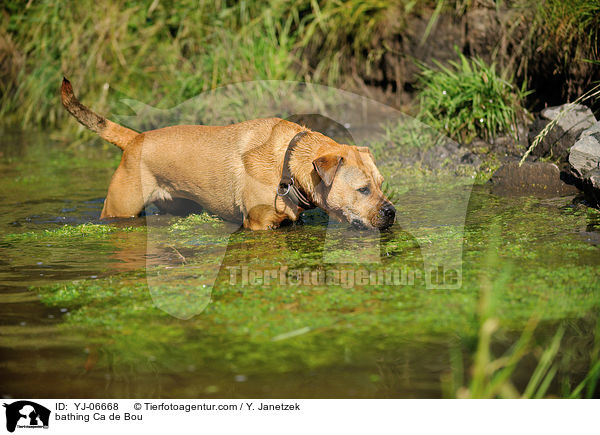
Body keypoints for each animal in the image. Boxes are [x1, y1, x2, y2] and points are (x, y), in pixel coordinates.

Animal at [63, 80, 396, 233]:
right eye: (362, 190)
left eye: (381, 184)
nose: (392, 212)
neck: (289, 164)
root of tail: (135, 138)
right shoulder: (260, 224)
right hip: (119, 208)